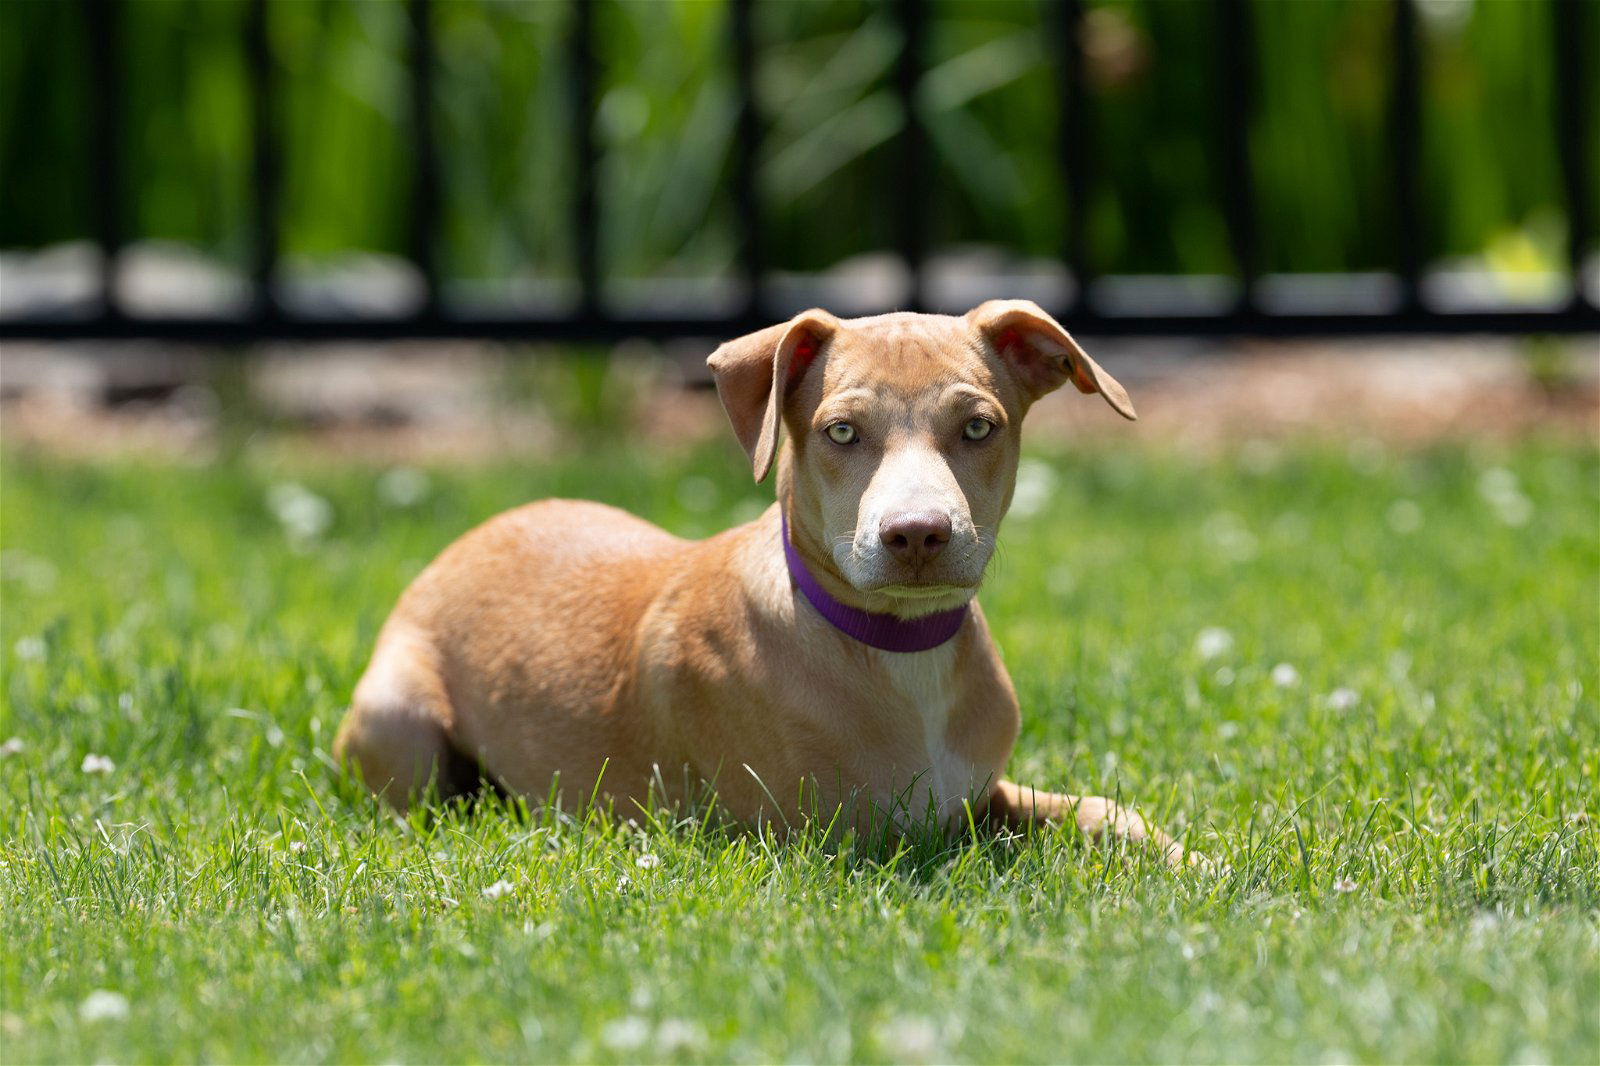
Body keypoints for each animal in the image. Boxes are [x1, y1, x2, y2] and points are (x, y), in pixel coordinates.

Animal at [334, 296, 1203, 864]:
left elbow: (1104, 811)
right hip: (399, 720)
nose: (917, 535)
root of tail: (462, 542)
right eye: (841, 432)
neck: (899, 652)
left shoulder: (982, 794)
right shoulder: (841, 843)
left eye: (979, 426)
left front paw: (1199, 865)